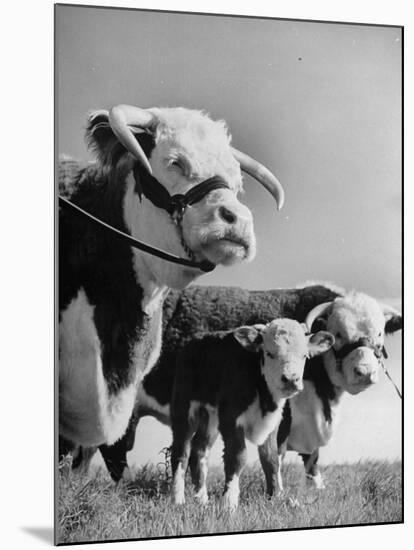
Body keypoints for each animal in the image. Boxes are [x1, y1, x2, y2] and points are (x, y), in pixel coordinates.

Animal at [168, 322, 334, 512]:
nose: (291, 379)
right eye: (269, 353)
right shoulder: (231, 418)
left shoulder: (273, 423)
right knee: (181, 452)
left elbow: (271, 459)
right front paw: (229, 502)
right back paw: (178, 499)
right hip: (184, 410)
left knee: (199, 451)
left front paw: (275, 496)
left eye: (304, 355)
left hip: (211, 417)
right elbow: (237, 456)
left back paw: (202, 499)